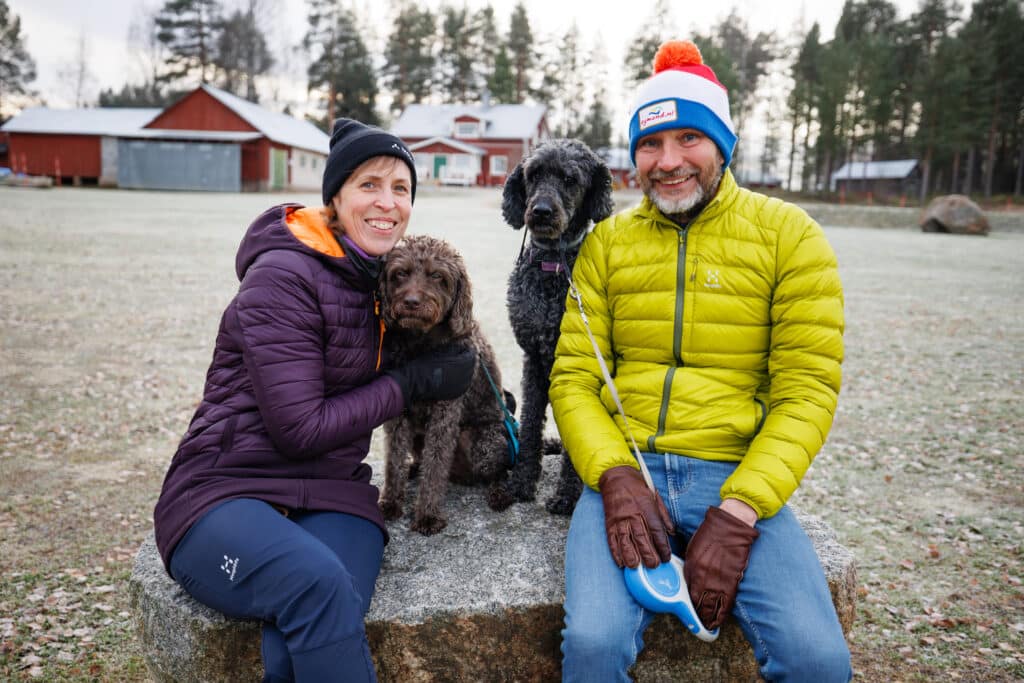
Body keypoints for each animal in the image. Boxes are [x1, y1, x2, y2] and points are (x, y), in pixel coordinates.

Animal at [380, 235, 516, 532]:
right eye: (400, 273)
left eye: (437, 276)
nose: (411, 301)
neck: (421, 345)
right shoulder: (399, 414)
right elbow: (394, 460)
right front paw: (390, 502)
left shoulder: (445, 415)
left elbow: (435, 466)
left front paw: (428, 515)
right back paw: (413, 469)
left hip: (484, 444)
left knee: (500, 470)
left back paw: (499, 493)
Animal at [487, 137, 614, 511]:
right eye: (533, 174)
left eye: (570, 179)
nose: (541, 211)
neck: (553, 268)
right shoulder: (533, 357)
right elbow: (530, 422)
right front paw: (521, 483)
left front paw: (569, 495)